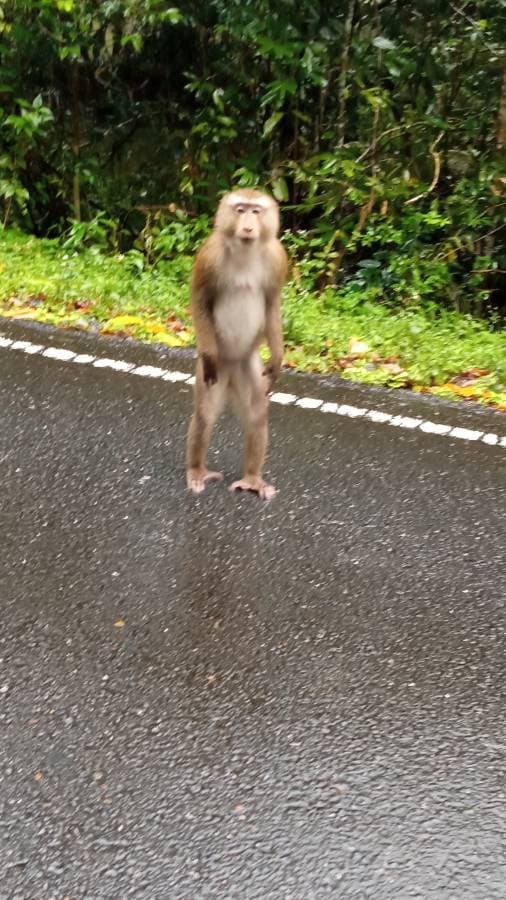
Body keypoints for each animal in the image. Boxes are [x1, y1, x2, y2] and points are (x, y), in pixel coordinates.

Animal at [186, 187, 288, 502]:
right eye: (240, 209)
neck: (244, 251)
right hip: (218, 370)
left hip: (246, 365)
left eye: (256, 211)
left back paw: (252, 478)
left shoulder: (277, 259)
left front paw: (278, 357)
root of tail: (230, 365)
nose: (248, 226)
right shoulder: (210, 254)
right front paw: (208, 353)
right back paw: (196, 470)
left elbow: (272, 301)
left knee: (256, 414)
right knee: (205, 414)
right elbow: (200, 298)